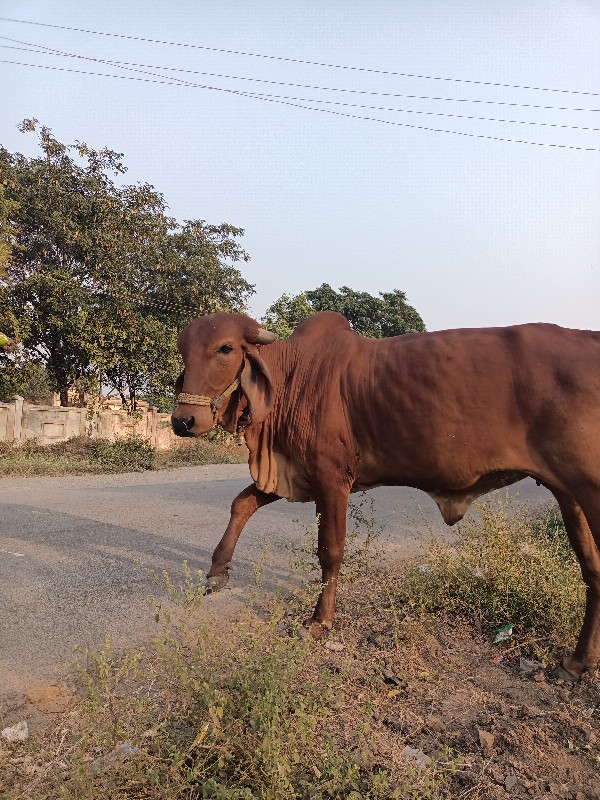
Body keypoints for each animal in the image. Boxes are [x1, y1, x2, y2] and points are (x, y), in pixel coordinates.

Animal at [172, 310, 600, 680]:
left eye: (225, 349)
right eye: (182, 349)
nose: (183, 421)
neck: (294, 376)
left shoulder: (331, 478)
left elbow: (330, 550)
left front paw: (319, 621)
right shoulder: (296, 474)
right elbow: (241, 504)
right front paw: (217, 572)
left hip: (589, 490)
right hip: (569, 493)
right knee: (591, 567)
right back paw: (576, 662)